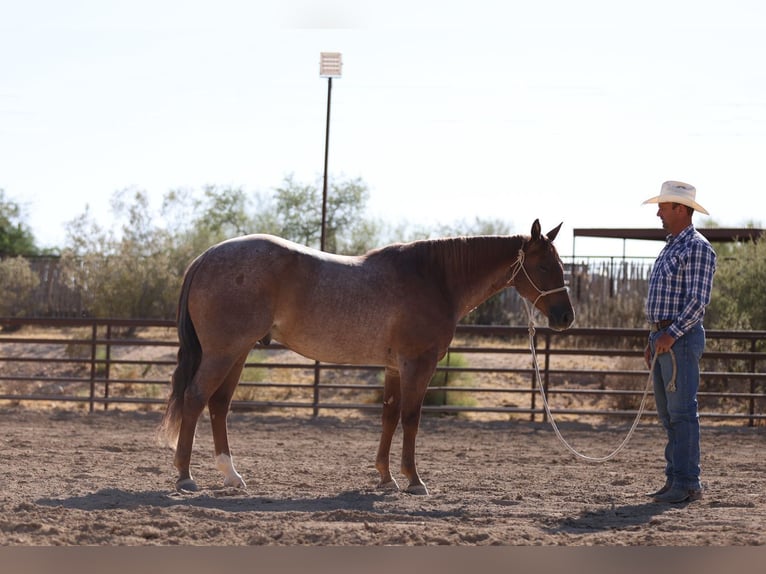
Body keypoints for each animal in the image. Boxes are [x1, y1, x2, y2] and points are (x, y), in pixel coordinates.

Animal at [159, 219, 575, 495]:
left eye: (560, 265)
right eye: (543, 265)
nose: (566, 317)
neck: (434, 278)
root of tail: (207, 256)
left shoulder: (394, 368)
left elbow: (389, 417)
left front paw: (386, 478)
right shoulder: (417, 364)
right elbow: (411, 418)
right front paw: (413, 480)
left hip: (238, 352)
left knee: (219, 405)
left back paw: (231, 475)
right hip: (224, 352)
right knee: (196, 398)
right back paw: (185, 476)